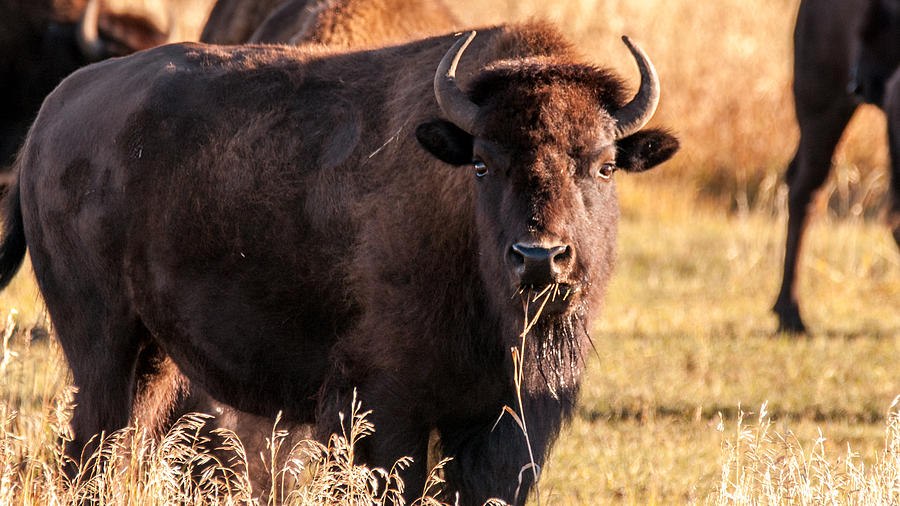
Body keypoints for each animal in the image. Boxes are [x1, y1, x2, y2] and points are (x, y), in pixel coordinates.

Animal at [0, 21, 676, 504]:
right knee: (91, 445)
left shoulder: (503, 423)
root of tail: (48, 119)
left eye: (604, 164)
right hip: (102, 349)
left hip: (154, 358)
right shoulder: (384, 409)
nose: (540, 258)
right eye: (483, 162)